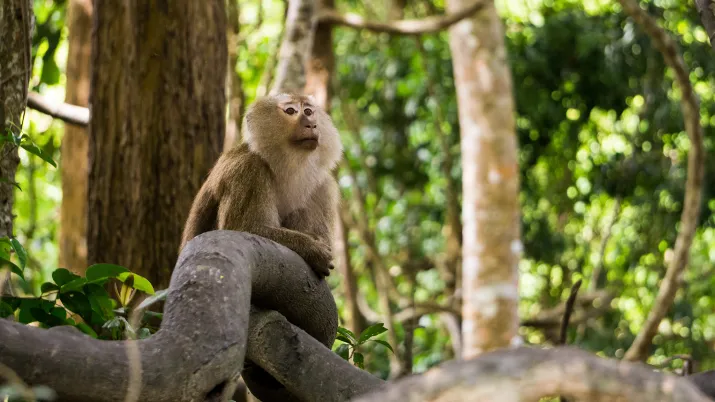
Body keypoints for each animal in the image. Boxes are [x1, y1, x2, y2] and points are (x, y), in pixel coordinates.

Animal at [179, 93, 343, 277]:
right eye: (291, 111)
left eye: (308, 111)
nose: (311, 124)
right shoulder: (249, 169)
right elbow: (243, 228)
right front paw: (311, 247)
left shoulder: (323, 187)